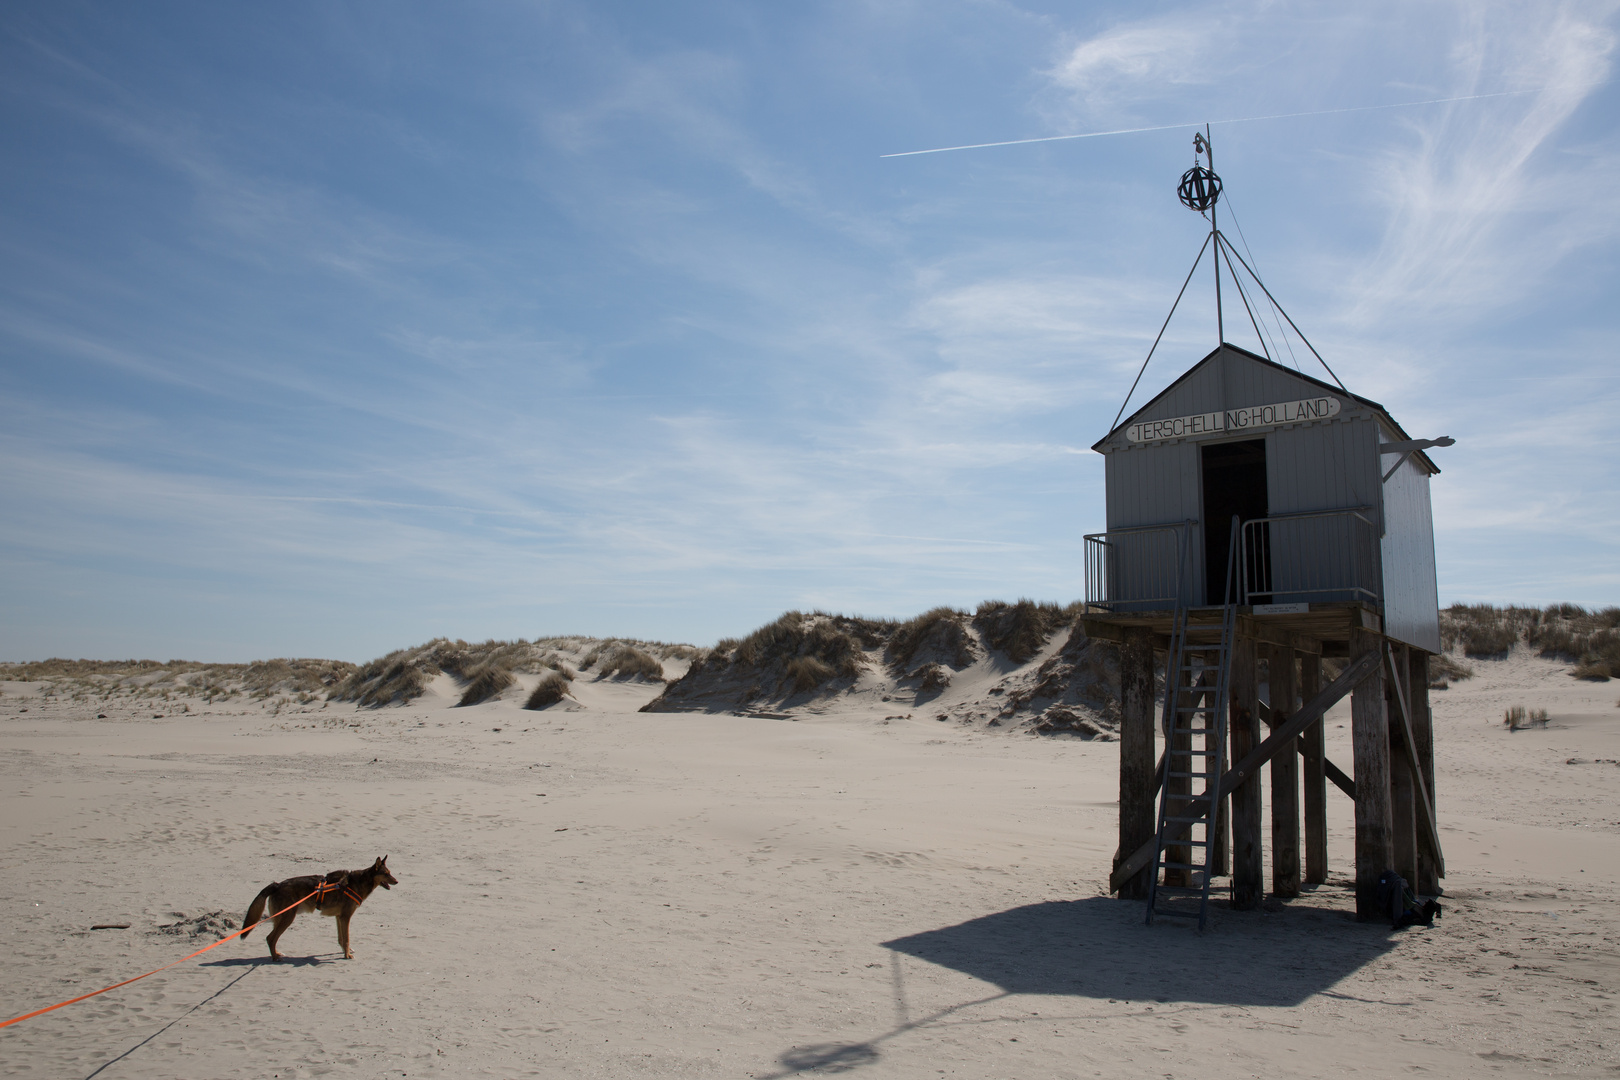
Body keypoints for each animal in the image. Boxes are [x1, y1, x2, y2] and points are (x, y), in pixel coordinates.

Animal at [241, 854, 396, 958]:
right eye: (386, 874)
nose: (397, 881)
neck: (358, 882)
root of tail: (277, 885)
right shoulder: (345, 917)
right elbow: (346, 939)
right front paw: (347, 955)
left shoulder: (339, 917)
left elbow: (341, 939)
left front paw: (344, 951)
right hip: (287, 918)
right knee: (270, 938)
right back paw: (275, 958)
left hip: (280, 918)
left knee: (271, 938)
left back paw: (277, 954)